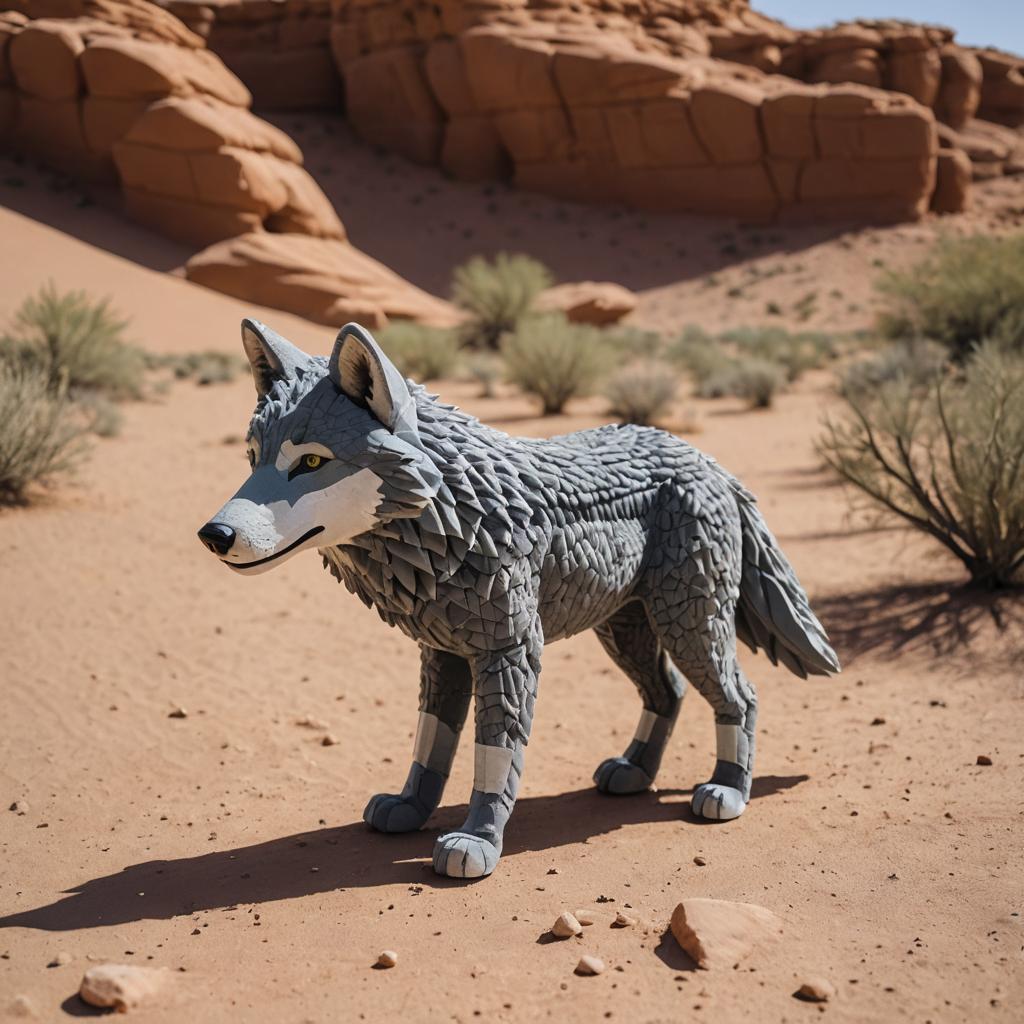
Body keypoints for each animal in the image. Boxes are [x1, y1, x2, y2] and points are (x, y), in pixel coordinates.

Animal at [197, 321, 839, 880]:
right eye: (253, 458)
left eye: (311, 461)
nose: (213, 535)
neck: (456, 514)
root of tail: (706, 460)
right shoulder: (444, 651)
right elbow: (430, 745)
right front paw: (410, 808)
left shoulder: (509, 650)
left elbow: (494, 753)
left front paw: (477, 842)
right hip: (625, 629)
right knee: (669, 692)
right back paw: (634, 771)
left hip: (689, 622)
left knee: (741, 695)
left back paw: (727, 789)